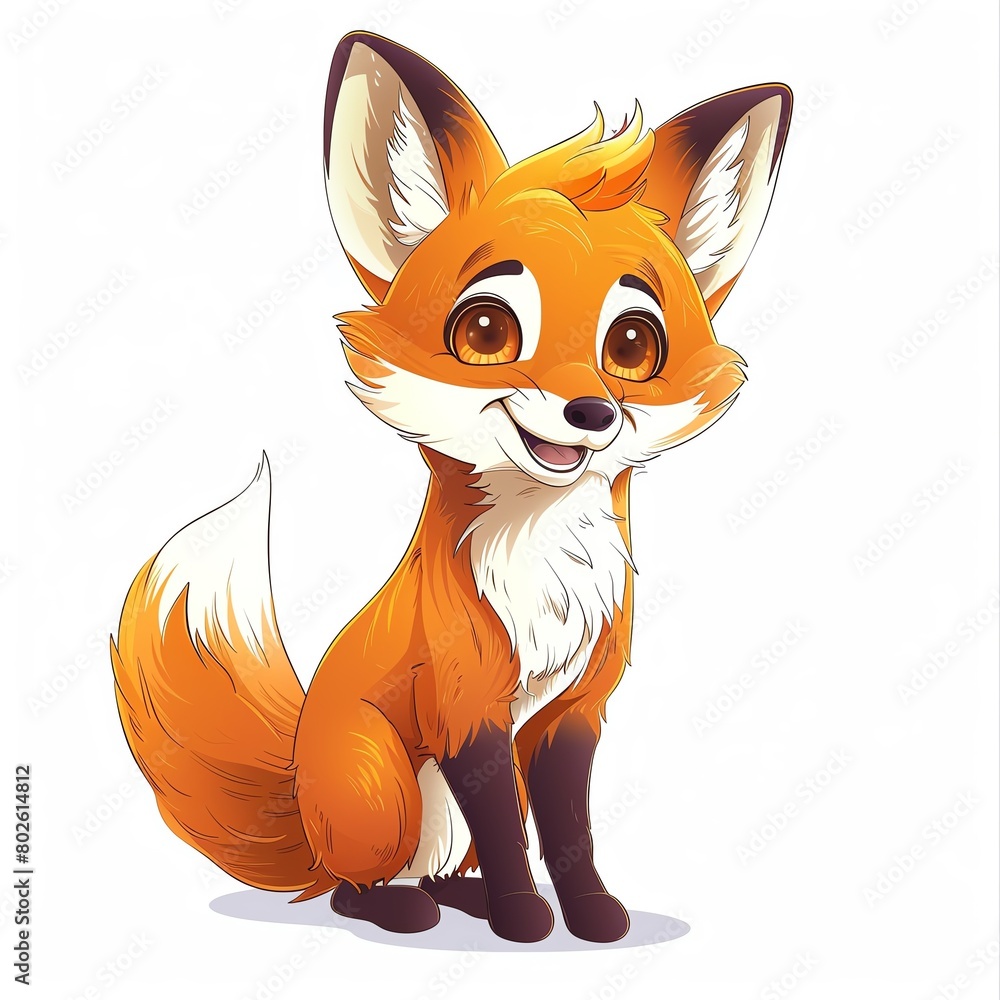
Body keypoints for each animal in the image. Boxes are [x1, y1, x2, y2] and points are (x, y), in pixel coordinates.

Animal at [111, 31, 791, 944]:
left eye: (632, 345)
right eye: (486, 330)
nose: (589, 410)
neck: (544, 572)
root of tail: (301, 802)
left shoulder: (571, 714)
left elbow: (568, 828)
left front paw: (590, 913)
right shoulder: (468, 708)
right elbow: (507, 828)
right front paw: (525, 919)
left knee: (440, 863)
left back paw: (454, 898)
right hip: (384, 787)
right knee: (352, 884)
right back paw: (400, 908)